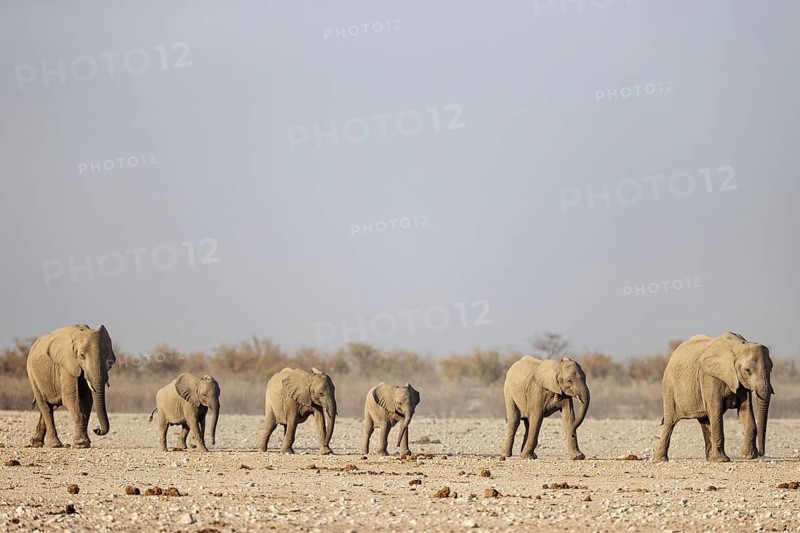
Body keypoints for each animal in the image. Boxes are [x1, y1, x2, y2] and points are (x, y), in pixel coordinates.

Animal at [654, 332, 773, 462]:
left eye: (771, 369)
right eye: (747, 370)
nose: (761, 453)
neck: (738, 346)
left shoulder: (739, 381)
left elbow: (745, 409)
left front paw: (748, 456)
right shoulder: (709, 376)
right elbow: (716, 410)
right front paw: (722, 460)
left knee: (705, 421)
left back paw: (710, 458)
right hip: (669, 388)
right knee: (670, 423)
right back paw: (660, 459)